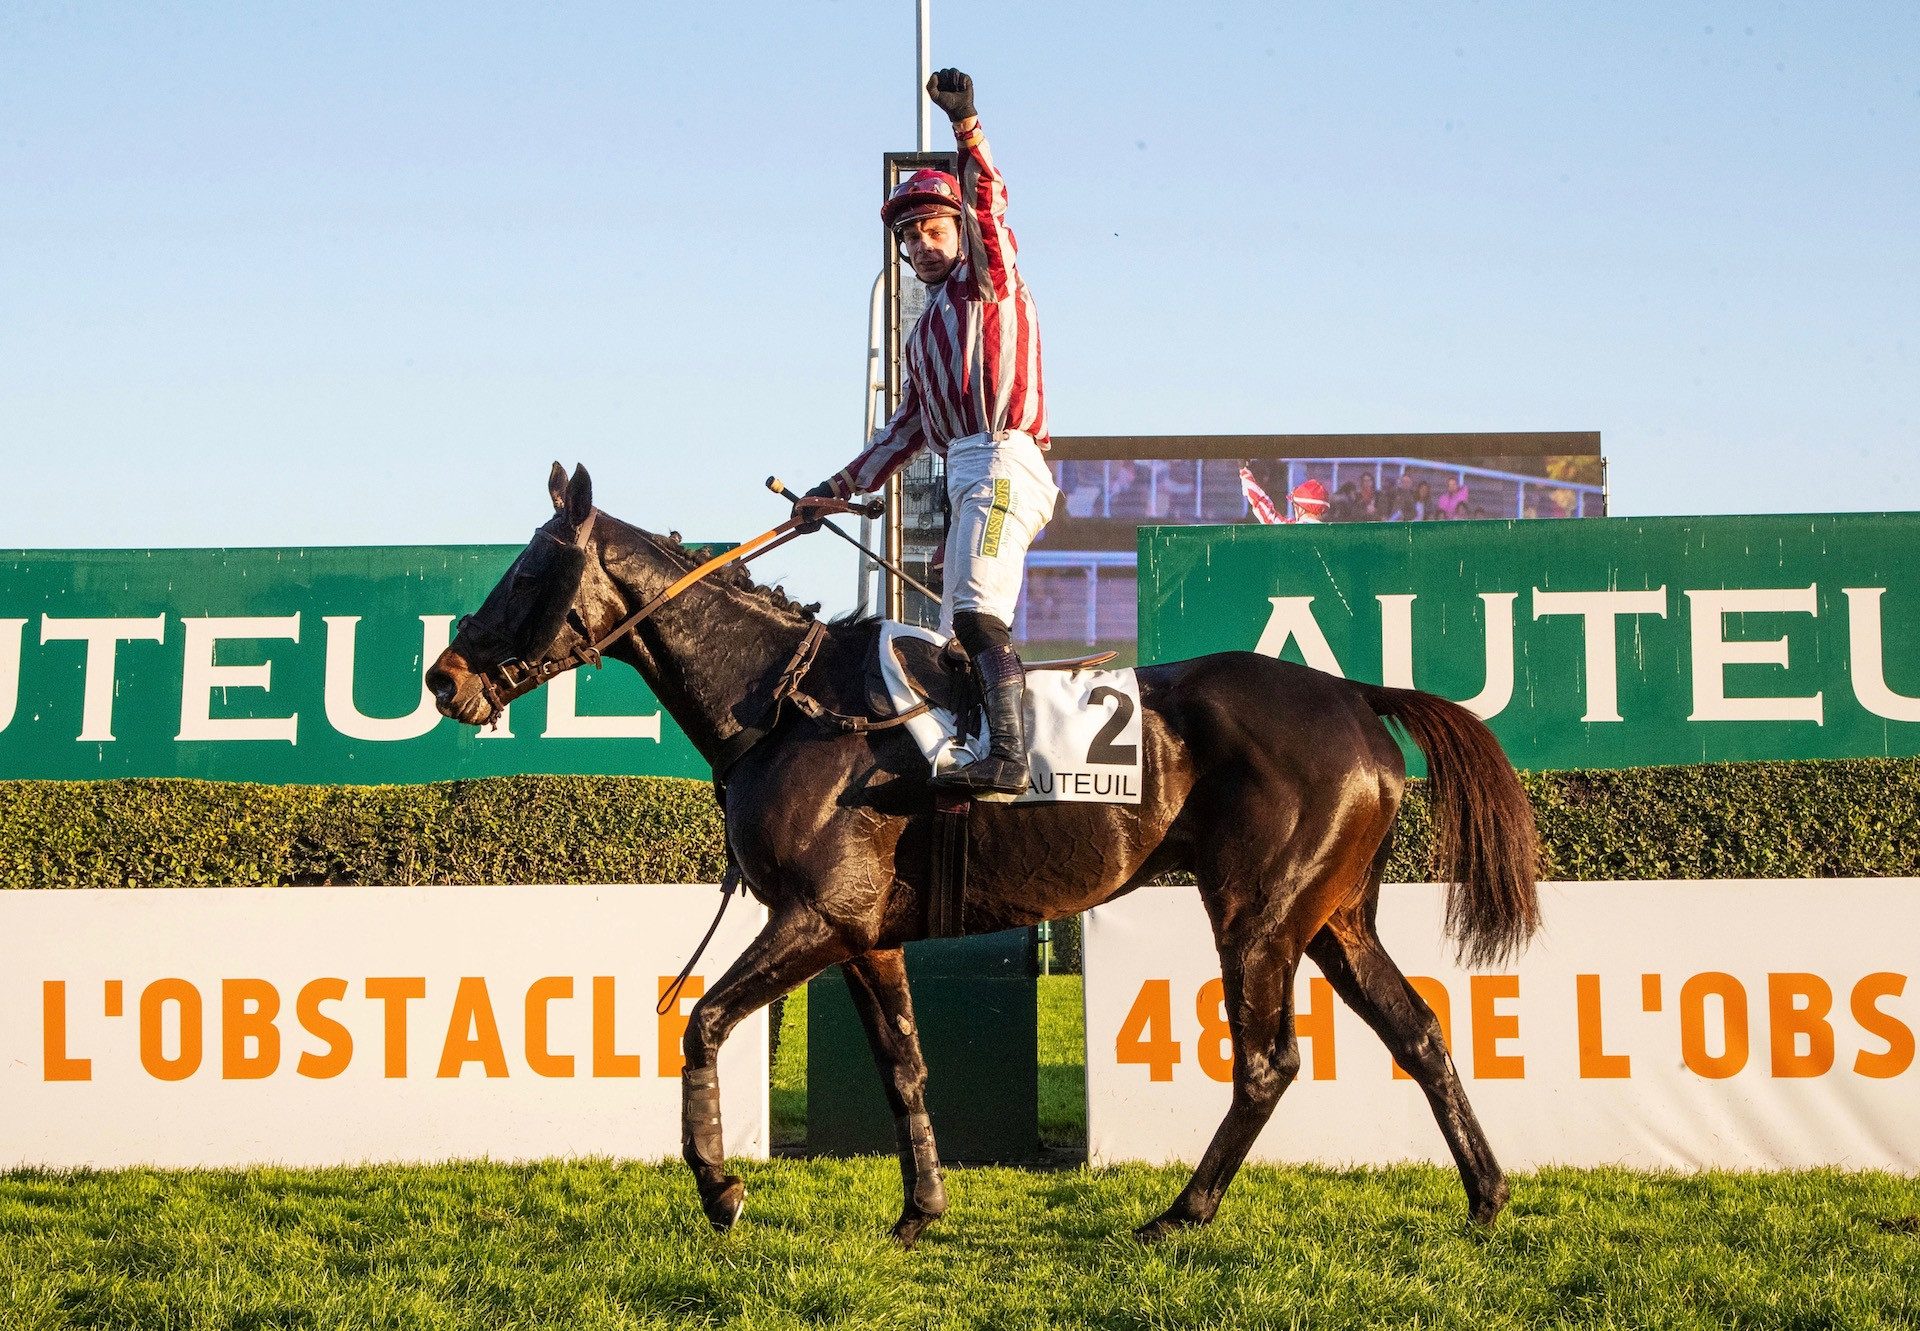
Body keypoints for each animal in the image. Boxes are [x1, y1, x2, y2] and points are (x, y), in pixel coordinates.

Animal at [428, 466, 1536, 1244]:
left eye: (527, 571)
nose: (443, 676)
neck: (790, 705)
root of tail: (1355, 693)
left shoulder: (815, 916)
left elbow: (701, 1023)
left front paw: (722, 1186)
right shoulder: (863, 935)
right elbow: (903, 1067)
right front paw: (920, 1207)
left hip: (1260, 913)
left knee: (1268, 1062)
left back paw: (1181, 1211)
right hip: (1336, 915)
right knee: (1418, 1030)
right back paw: (1485, 1195)